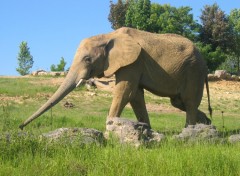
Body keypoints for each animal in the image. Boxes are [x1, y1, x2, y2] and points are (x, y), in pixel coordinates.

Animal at [19, 27, 212, 129]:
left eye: (87, 59)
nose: (20, 126)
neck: (107, 36)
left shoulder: (133, 62)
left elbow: (125, 91)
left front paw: (110, 128)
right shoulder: (134, 64)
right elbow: (135, 96)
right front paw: (145, 129)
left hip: (193, 71)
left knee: (188, 102)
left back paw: (190, 130)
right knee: (179, 102)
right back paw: (207, 124)